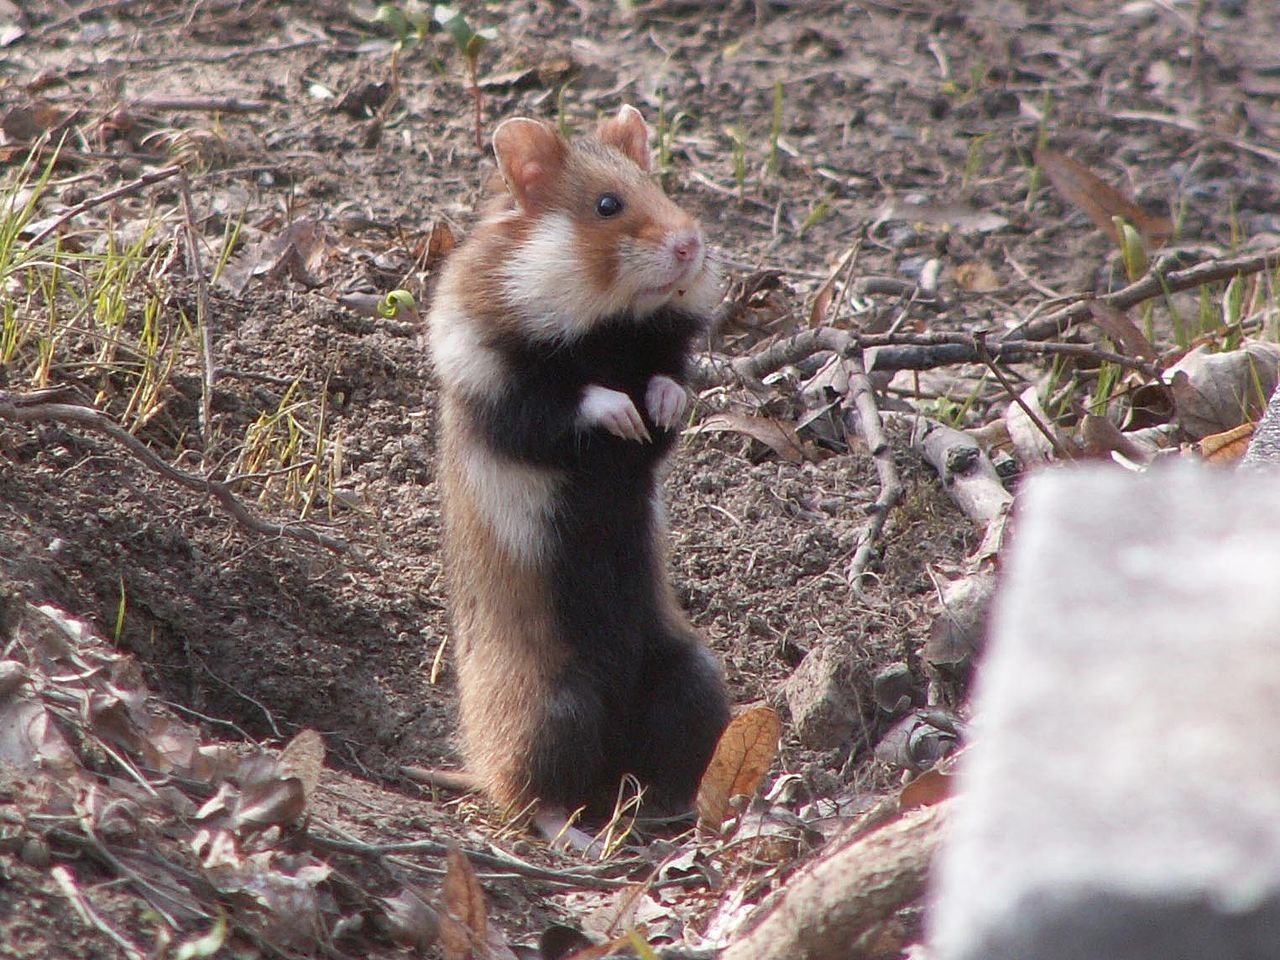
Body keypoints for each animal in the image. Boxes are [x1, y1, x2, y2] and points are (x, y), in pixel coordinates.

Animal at [424, 104, 730, 840]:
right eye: (606, 205)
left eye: (660, 186)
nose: (691, 244)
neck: (604, 324)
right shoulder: (498, 389)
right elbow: (570, 400)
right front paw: (620, 412)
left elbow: (668, 388)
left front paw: (659, 403)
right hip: (553, 709)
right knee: (531, 797)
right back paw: (580, 836)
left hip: (693, 677)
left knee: (667, 764)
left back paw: (675, 812)